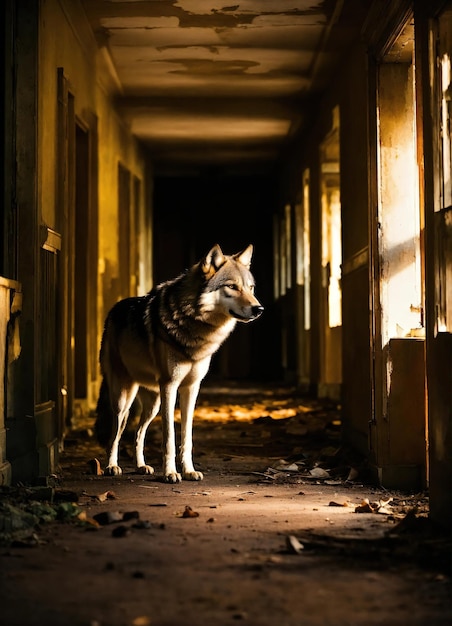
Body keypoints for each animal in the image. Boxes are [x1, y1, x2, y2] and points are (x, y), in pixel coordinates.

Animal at [96, 241, 264, 480]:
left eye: (250, 288)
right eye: (232, 286)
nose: (259, 309)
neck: (196, 324)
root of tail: (113, 311)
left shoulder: (191, 388)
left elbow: (186, 437)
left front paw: (189, 471)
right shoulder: (170, 386)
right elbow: (169, 438)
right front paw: (170, 473)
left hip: (153, 404)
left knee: (138, 434)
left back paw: (141, 466)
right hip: (123, 399)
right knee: (115, 434)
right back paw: (112, 466)